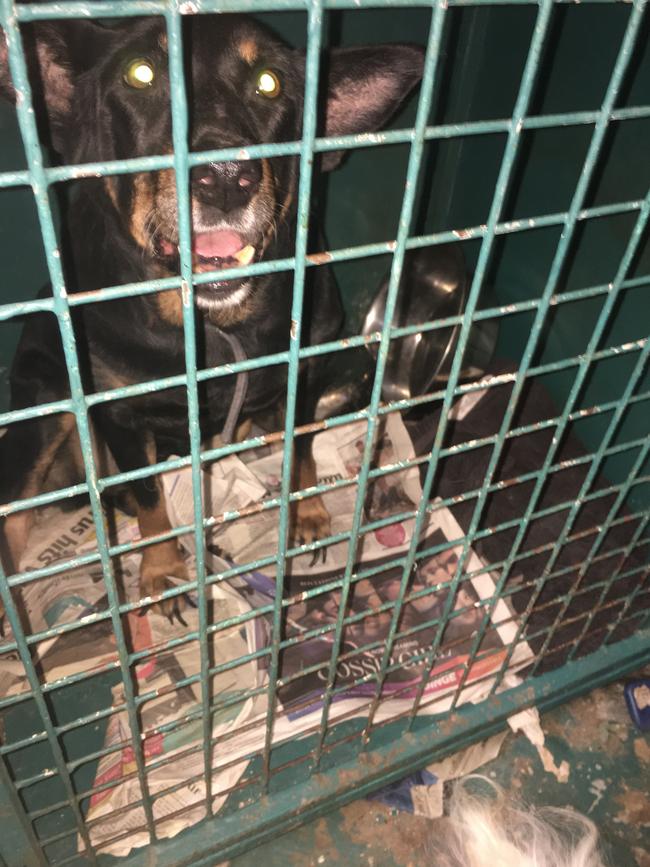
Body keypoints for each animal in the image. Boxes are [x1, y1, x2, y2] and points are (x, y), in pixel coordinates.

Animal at [0, 15, 422, 624]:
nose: (224, 177)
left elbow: (301, 446)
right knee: (17, 509)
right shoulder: (121, 414)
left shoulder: (305, 369)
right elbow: (151, 499)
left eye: (270, 82)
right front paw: (163, 571)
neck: (219, 327)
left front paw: (308, 513)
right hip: (46, 401)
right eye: (141, 73)